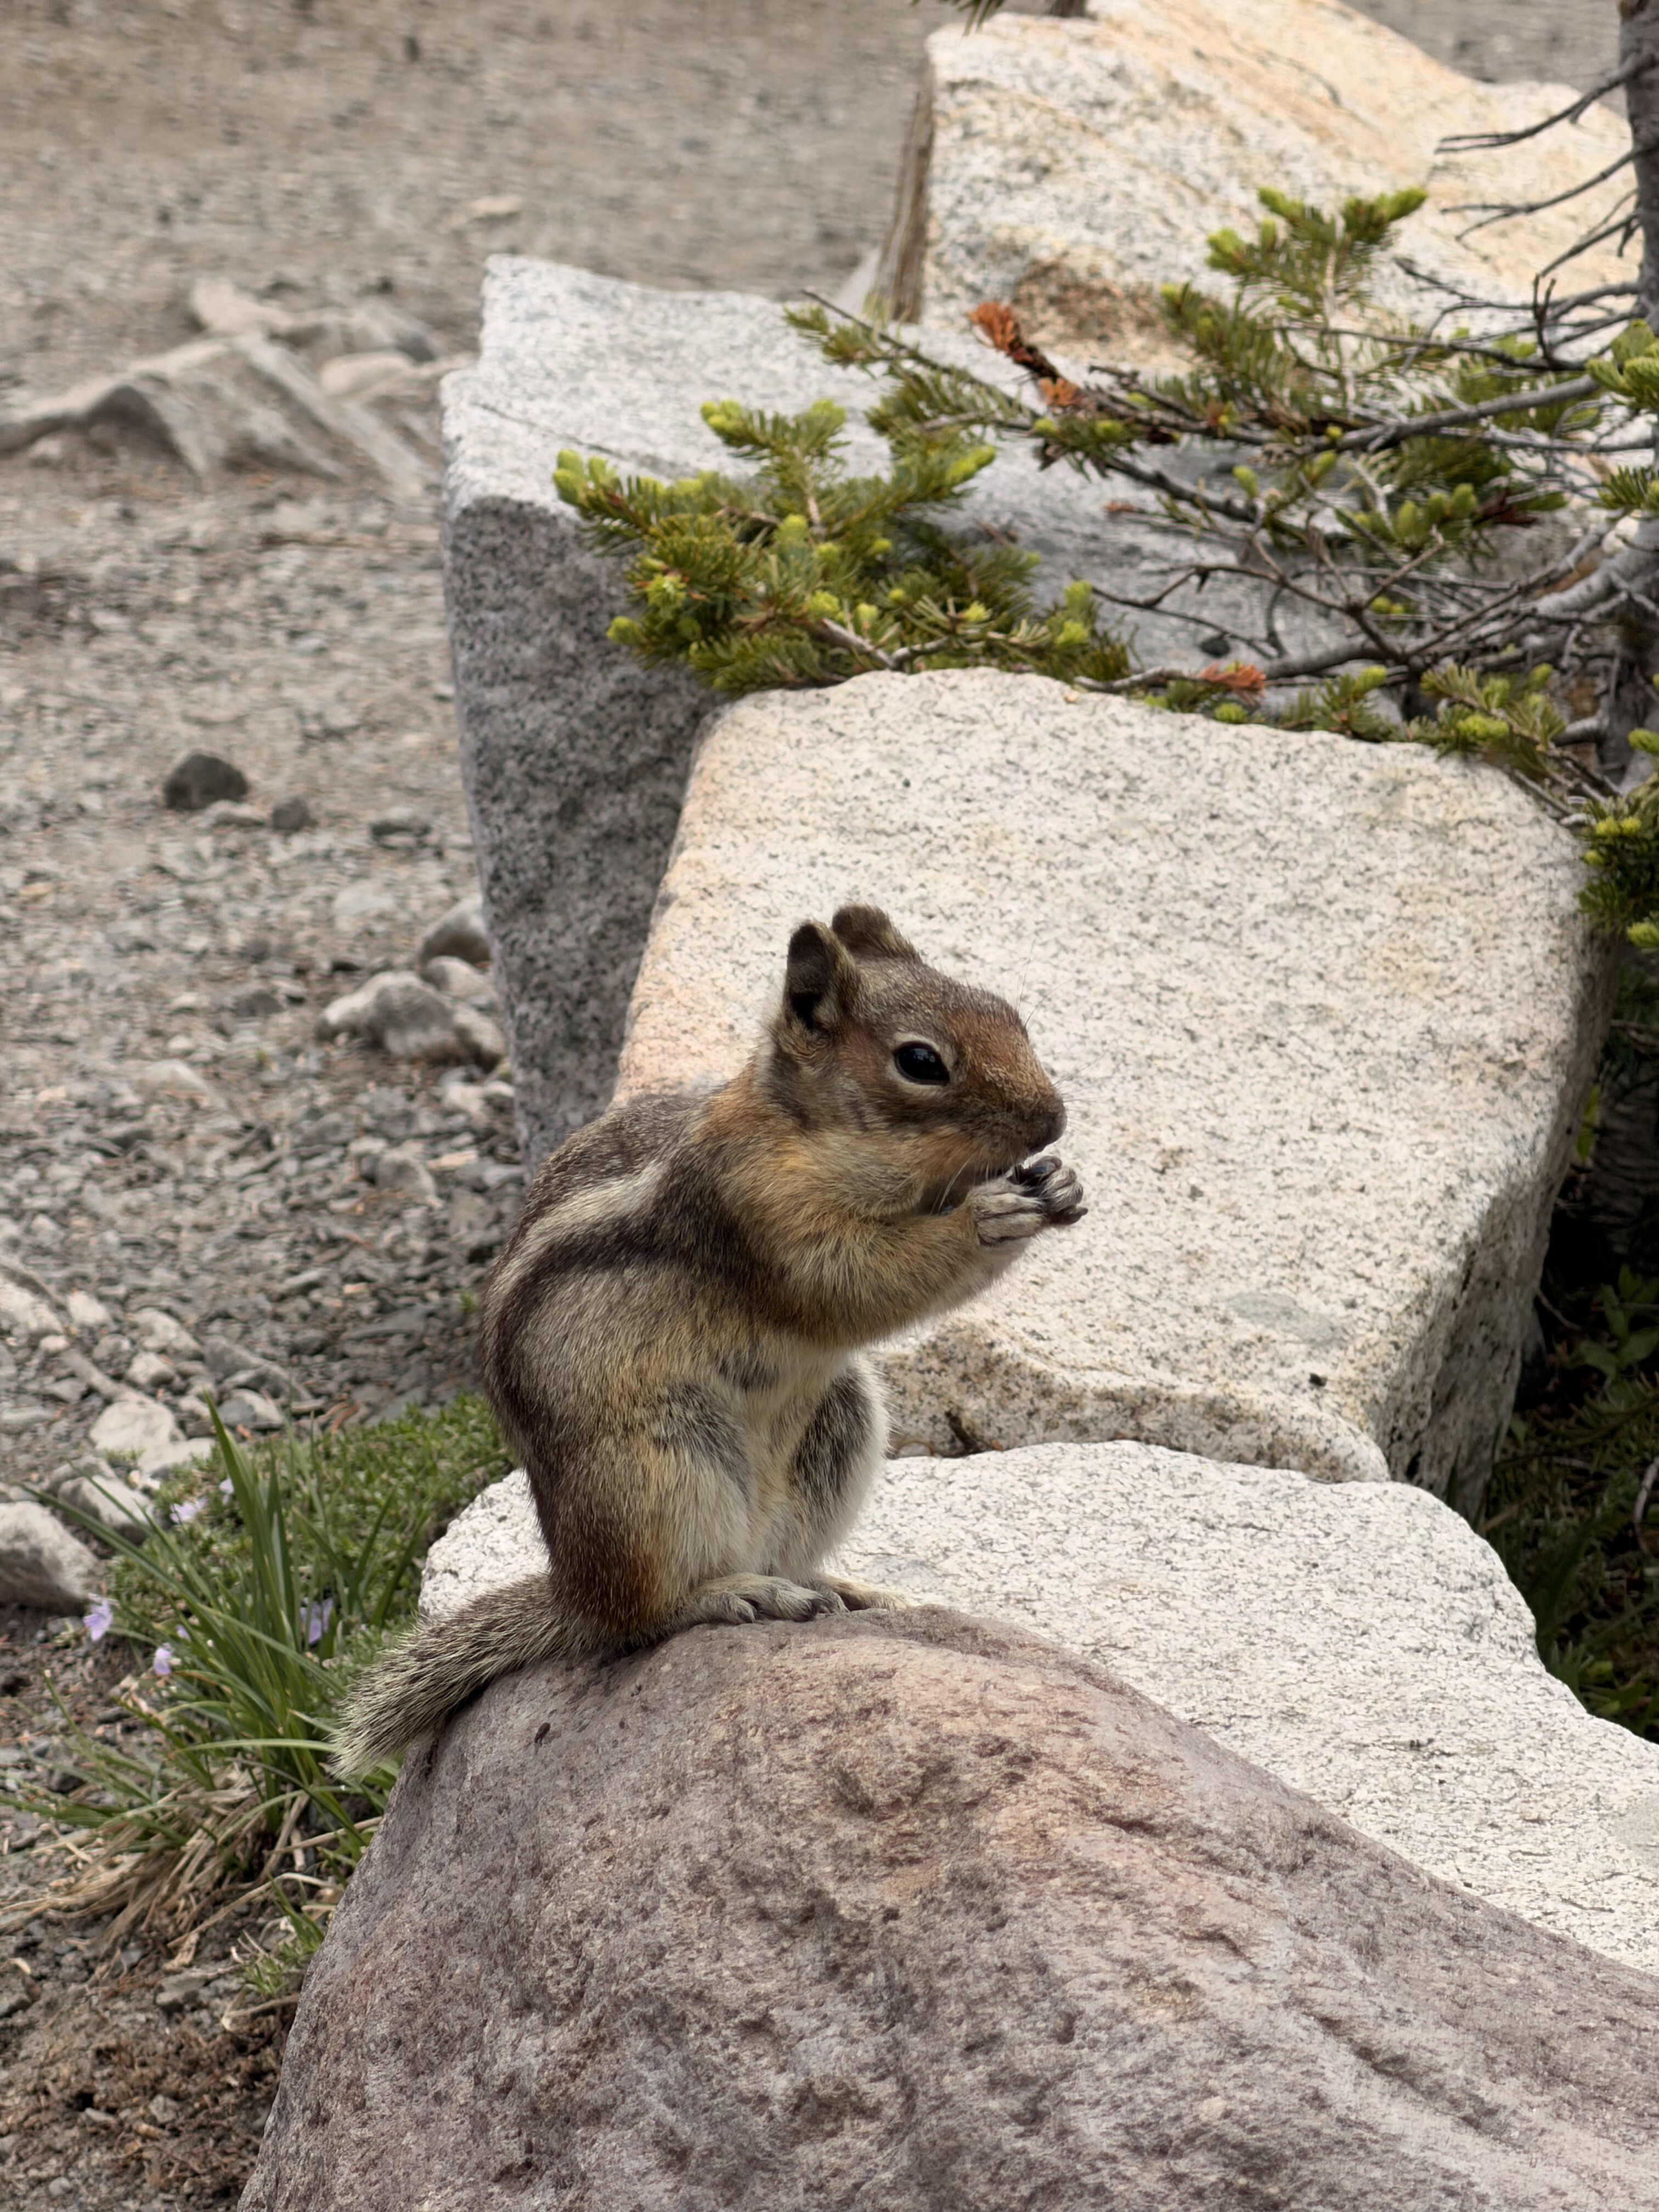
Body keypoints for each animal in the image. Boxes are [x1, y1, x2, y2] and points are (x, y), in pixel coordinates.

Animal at [332, 904, 1085, 1775]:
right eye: (921, 1062)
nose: (1054, 1119)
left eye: (1009, 1013)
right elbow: (857, 1281)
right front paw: (989, 1216)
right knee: (640, 1622)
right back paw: (731, 1593)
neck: (813, 1134)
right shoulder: (757, 1211)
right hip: (655, 1472)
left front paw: (1060, 1182)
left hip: (840, 1424)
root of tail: (573, 1591)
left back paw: (840, 1588)